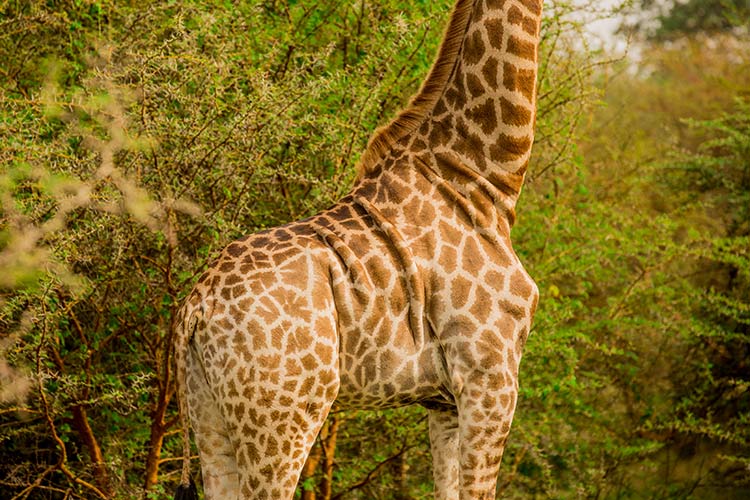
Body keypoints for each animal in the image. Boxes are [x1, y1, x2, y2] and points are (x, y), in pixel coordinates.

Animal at [173, 0, 544, 498]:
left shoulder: (445, 401)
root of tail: (197, 305)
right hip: (284, 416)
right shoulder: (490, 375)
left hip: (209, 415)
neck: (481, 179)